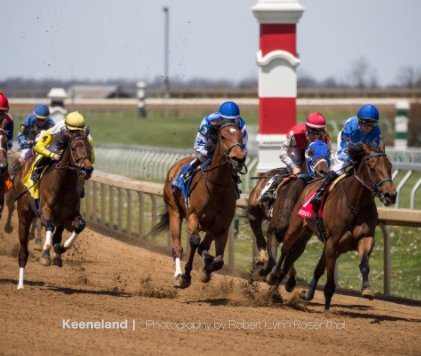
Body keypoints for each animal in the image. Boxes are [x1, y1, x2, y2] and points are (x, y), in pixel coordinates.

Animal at [16, 129, 93, 290]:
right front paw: (46, 253)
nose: (87, 169)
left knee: (58, 234)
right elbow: (49, 226)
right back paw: (20, 285)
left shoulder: (69, 216)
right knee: (23, 251)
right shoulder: (45, 211)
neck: (64, 182)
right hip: (24, 215)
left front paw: (61, 248)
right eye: (74, 148)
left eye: (89, 148)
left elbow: (79, 225)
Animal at [151, 121, 244, 288]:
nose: (238, 159)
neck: (216, 187)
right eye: (223, 136)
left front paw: (206, 271)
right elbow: (194, 241)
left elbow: (219, 260)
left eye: (241, 135)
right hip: (174, 211)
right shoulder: (193, 216)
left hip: (210, 228)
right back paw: (178, 274)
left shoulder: (222, 227)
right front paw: (186, 275)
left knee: (204, 248)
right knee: (178, 247)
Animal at [266, 142, 398, 308]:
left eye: (390, 166)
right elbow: (329, 278)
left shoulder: (365, 238)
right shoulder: (333, 242)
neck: (356, 204)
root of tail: (309, 183)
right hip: (296, 228)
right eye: (372, 166)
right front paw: (327, 309)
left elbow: (364, 264)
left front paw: (367, 289)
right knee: (285, 248)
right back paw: (274, 275)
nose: (390, 195)